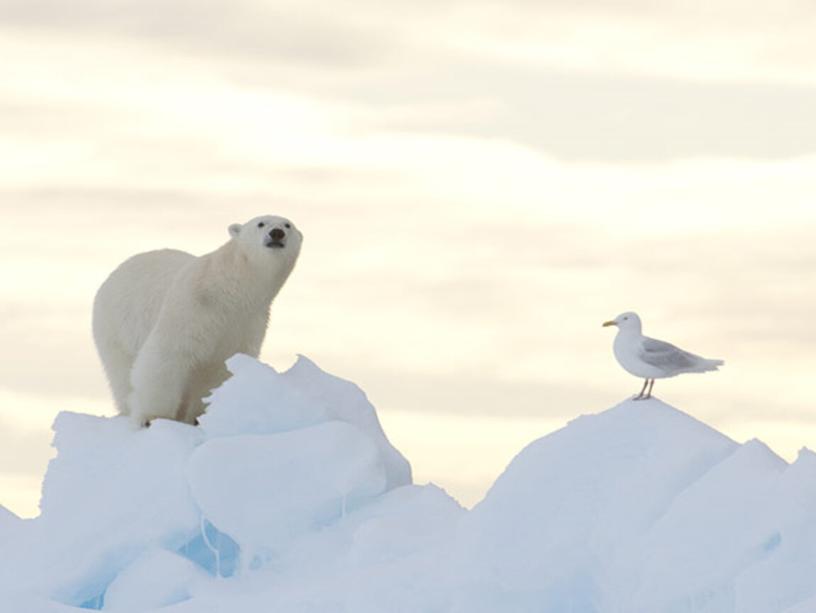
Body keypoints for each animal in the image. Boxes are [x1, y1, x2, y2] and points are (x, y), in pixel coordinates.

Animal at [93, 215, 302, 426]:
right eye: (261, 223)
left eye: (288, 225)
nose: (276, 233)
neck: (229, 290)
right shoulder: (191, 306)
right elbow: (167, 354)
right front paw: (153, 418)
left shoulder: (246, 322)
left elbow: (219, 368)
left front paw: (196, 416)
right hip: (116, 323)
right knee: (122, 371)